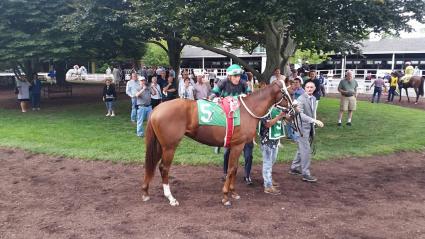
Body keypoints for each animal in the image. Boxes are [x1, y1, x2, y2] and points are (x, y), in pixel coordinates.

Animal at [141, 80, 294, 205]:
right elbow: (231, 169)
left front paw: (233, 192)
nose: (294, 110)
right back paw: (170, 197)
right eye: (287, 93)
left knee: (152, 165)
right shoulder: (238, 145)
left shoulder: (236, 146)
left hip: (160, 145)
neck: (247, 110)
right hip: (169, 147)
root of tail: (157, 109)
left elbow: (235, 168)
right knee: (164, 168)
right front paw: (226, 196)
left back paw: (146, 192)